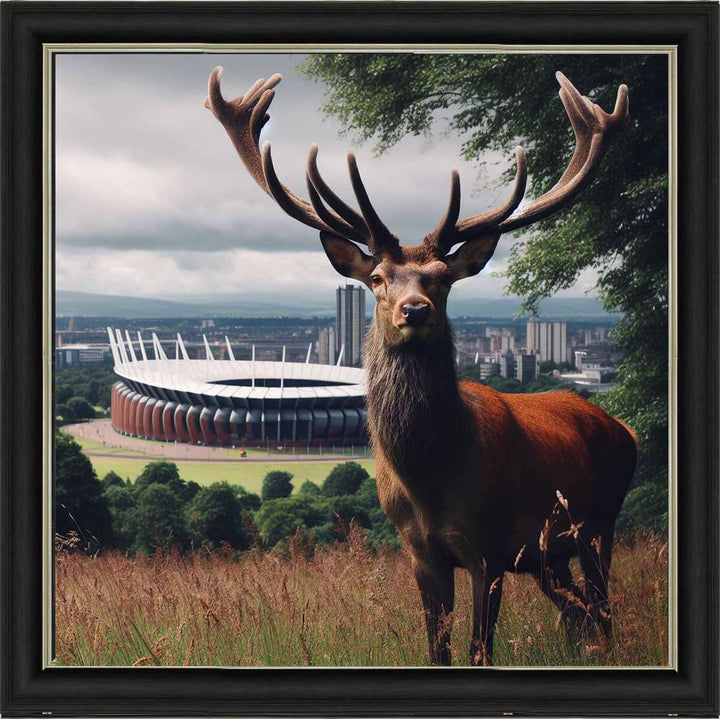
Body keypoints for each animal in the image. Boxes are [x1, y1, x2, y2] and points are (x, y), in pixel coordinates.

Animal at [204, 66, 636, 666]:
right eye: (377, 278)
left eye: (442, 278)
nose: (414, 309)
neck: (434, 479)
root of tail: (626, 429)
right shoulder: (421, 553)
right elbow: (438, 649)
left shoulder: (490, 548)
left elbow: (480, 650)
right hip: (549, 554)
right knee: (578, 613)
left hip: (600, 523)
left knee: (603, 610)